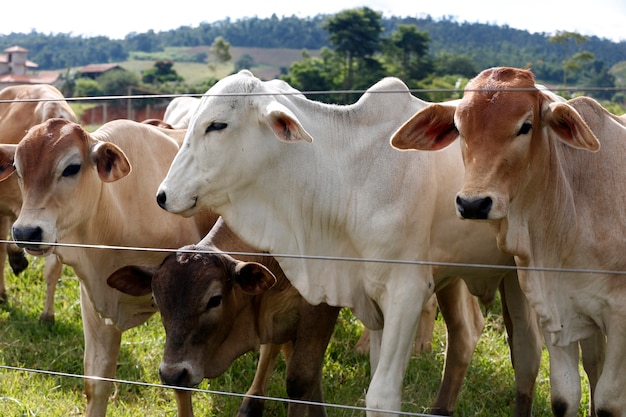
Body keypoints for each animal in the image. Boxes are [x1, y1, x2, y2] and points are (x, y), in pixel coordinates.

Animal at [1, 118, 217, 416]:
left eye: (71, 167)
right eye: (17, 170)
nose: (25, 232)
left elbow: (180, 384)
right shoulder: (93, 305)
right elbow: (97, 382)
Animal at [154, 71, 540, 416]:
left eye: (217, 125)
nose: (162, 195)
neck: (351, 176)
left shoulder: (406, 292)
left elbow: (381, 397)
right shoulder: (368, 295)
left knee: (522, 352)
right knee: (488, 342)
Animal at [390, 66, 624, 416]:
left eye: (525, 126)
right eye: (459, 127)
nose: (473, 204)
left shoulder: (619, 317)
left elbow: (609, 403)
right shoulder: (556, 313)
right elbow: (563, 398)